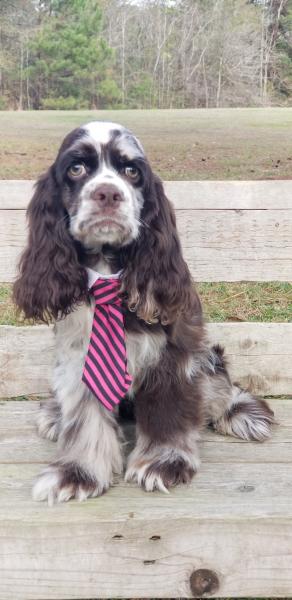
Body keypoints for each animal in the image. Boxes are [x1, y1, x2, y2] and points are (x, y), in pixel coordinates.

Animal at [13, 120, 274, 502]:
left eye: (131, 171)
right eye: (76, 169)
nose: (108, 194)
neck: (109, 268)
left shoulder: (173, 355)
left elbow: (167, 411)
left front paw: (163, 463)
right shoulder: (80, 358)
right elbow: (85, 418)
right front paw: (77, 472)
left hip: (208, 358)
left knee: (220, 389)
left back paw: (241, 413)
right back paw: (54, 415)